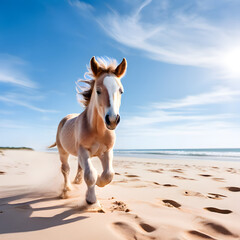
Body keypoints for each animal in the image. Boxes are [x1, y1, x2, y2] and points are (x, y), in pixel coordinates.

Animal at [48, 56, 127, 204]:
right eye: (98, 90)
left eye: (121, 91)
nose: (112, 119)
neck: (98, 131)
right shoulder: (83, 150)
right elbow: (90, 174)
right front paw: (91, 200)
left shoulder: (106, 151)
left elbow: (108, 174)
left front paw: (99, 181)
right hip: (63, 152)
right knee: (65, 169)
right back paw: (66, 190)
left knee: (79, 167)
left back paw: (77, 181)